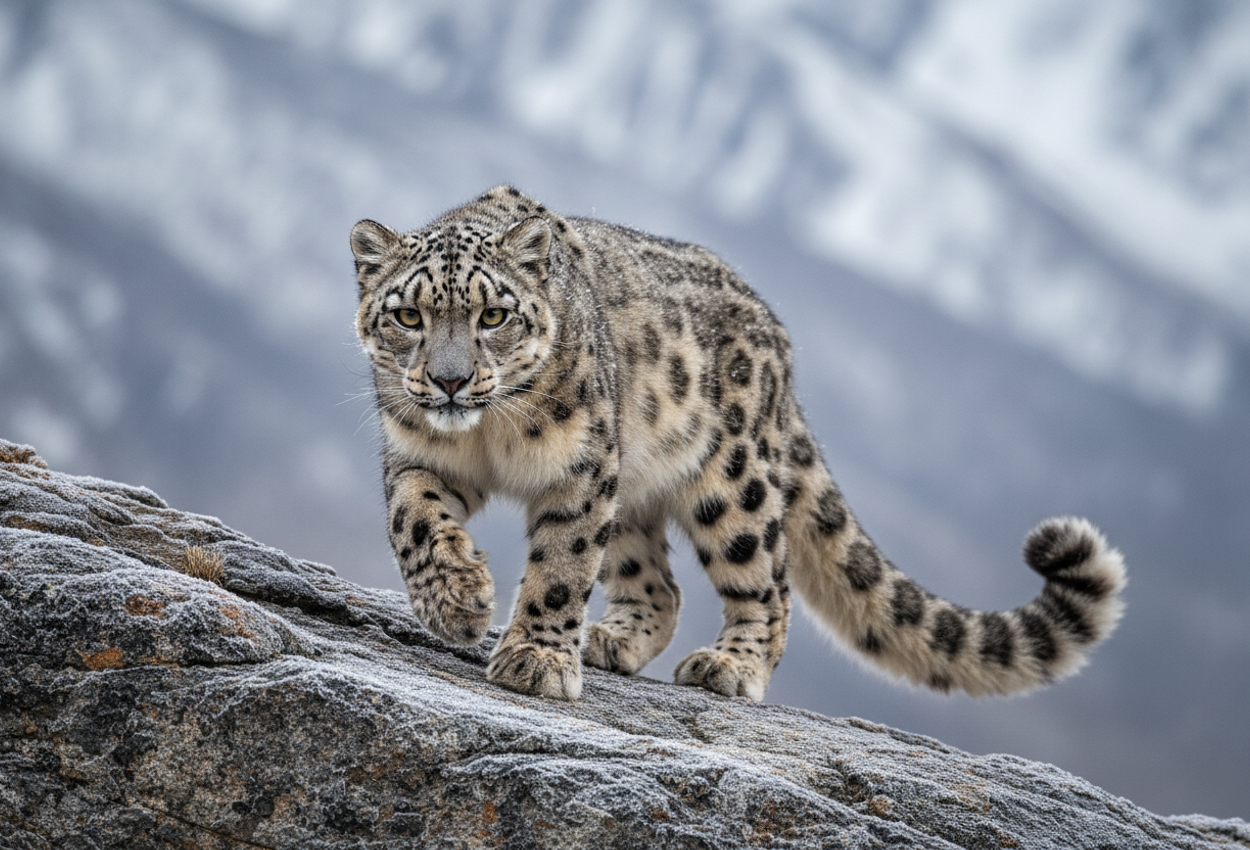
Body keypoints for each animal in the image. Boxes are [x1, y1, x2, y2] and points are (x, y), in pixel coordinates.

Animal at [350, 185, 1127, 702]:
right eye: (409, 315)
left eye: (494, 315)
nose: (451, 381)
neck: (490, 435)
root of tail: (777, 336)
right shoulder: (416, 452)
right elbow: (413, 521)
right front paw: (456, 600)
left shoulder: (582, 468)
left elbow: (563, 564)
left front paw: (537, 658)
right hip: (634, 490)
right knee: (657, 584)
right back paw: (610, 640)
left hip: (731, 483)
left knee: (768, 586)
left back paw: (729, 667)